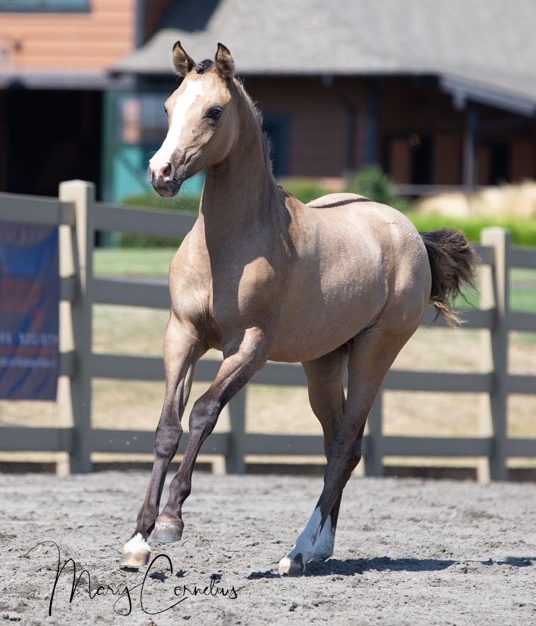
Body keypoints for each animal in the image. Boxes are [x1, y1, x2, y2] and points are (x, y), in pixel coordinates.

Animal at [120, 41, 474, 572]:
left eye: (214, 111)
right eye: (167, 107)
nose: (161, 174)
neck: (230, 245)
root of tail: (408, 231)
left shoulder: (249, 348)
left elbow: (204, 413)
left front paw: (169, 523)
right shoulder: (181, 335)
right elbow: (167, 426)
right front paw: (138, 539)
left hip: (375, 352)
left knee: (346, 444)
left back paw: (300, 549)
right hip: (322, 363)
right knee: (337, 445)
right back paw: (321, 548)